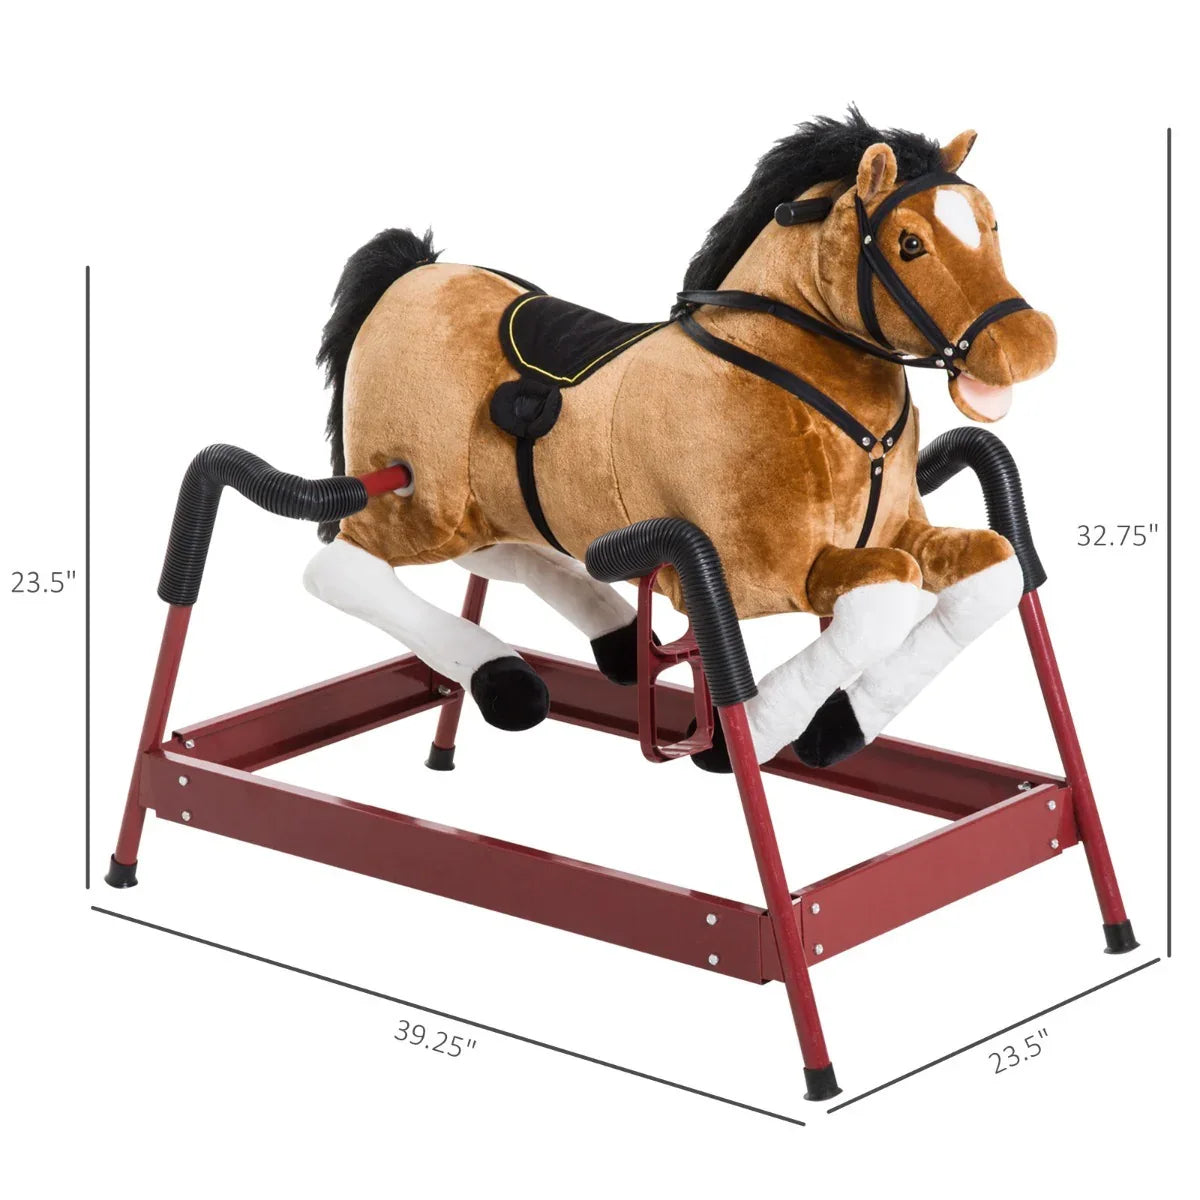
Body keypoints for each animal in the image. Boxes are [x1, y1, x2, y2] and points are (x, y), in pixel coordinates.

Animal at [301, 109, 1057, 771]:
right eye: (910, 244)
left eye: (990, 224)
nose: (1031, 345)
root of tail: (415, 271)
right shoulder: (759, 575)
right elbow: (886, 597)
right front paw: (755, 732)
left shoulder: (899, 528)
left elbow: (996, 569)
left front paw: (838, 725)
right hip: (416, 503)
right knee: (337, 568)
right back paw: (505, 679)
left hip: (491, 507)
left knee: (508, 553)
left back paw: (616, 644)